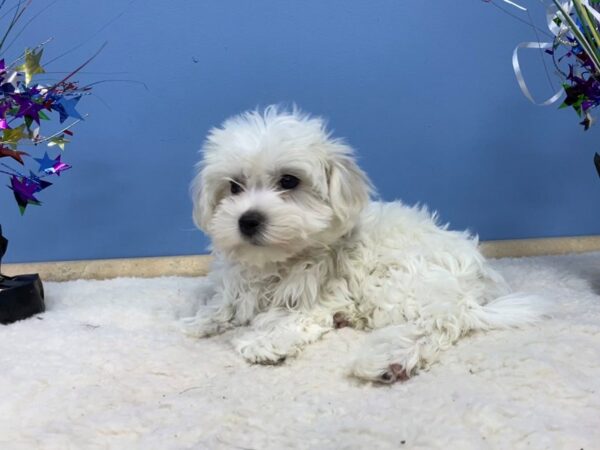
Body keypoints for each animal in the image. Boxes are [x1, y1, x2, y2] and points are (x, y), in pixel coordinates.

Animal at [180, 105, 540, 384]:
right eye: (234, 186)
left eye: (289, 181)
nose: (248, 220)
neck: (276, 261)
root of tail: (479, 285)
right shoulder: (239, 283)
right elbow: (225, 303)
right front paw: (200, 320)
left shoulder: (322, 295)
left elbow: (296, 318)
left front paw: (264, 342)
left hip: (398, 281)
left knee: (439, 322)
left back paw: (389, 361)